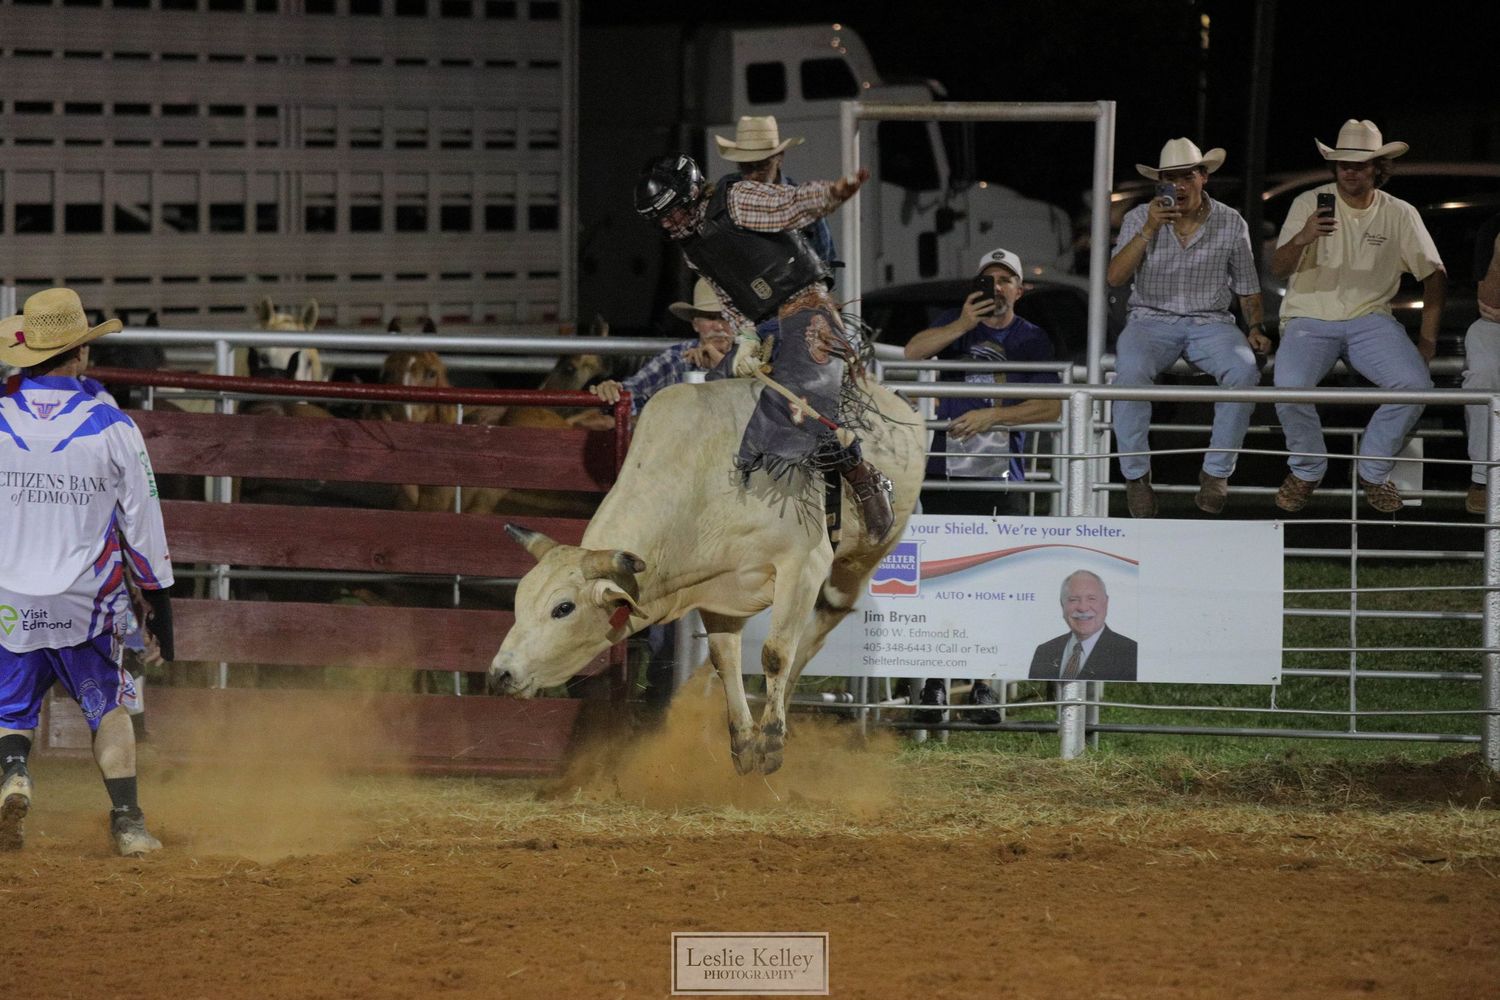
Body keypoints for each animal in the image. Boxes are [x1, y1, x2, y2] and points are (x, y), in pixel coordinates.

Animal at [488, 373, 926, 775]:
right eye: (518, 603)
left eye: (563, 608)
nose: (500, 674)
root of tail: (901, 405)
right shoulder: (719, 588)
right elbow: (724, 658)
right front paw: (744, 744)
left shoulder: (801, 565)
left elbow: (775, 654)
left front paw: (769, 743)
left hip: (861, 558)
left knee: (818, 628)